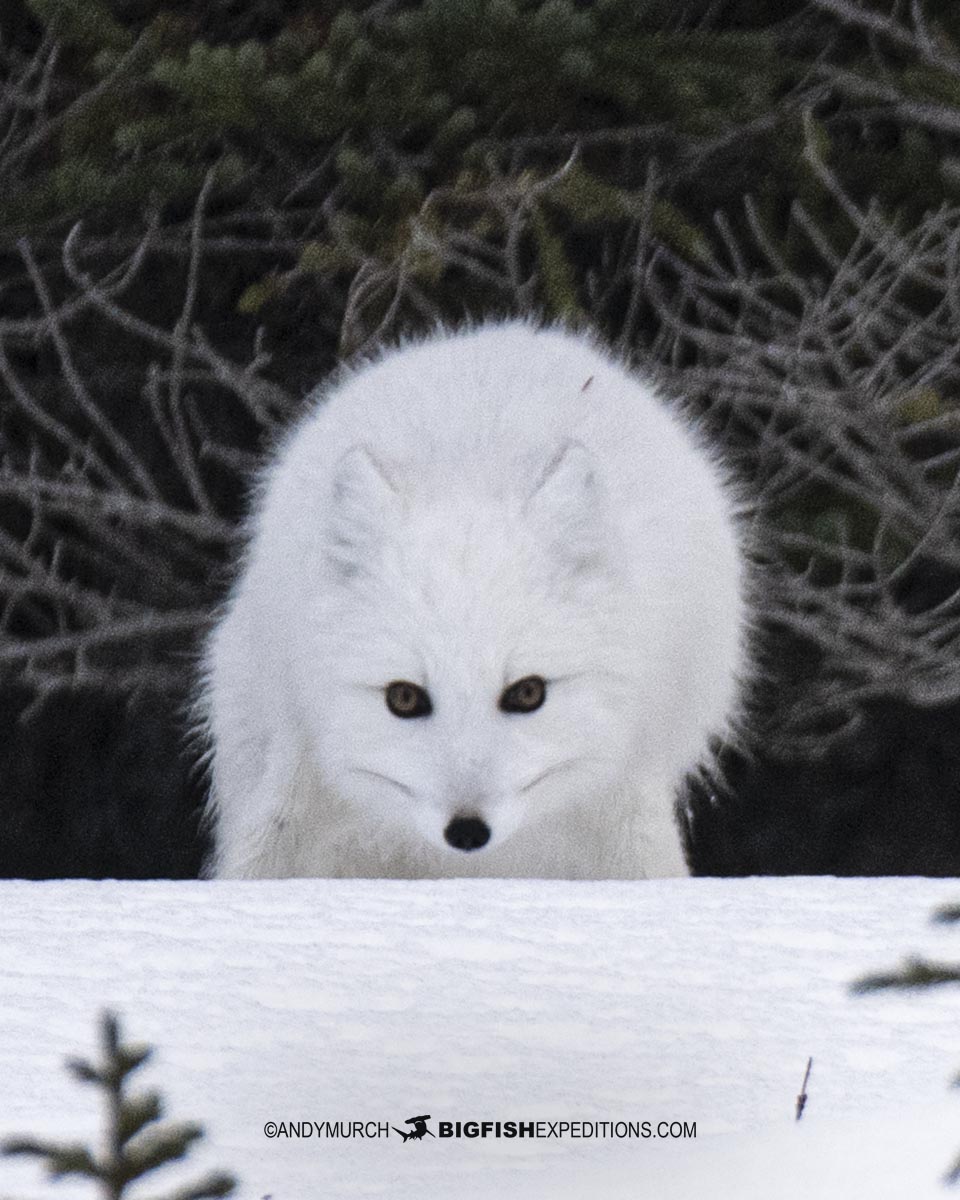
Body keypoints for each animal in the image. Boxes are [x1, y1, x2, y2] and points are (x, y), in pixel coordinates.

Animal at [201, 320, 747, 879]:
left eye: (527, 693)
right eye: (404, 698)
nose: (466, 831)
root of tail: (500, 334)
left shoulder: (624, 783)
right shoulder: (302, 767)